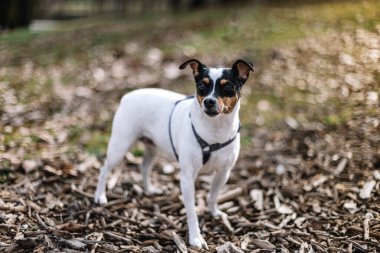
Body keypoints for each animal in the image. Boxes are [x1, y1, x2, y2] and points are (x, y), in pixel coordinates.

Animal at [94, 58, 254, 248]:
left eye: (228, 86)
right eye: (202, 85)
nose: (209, 101)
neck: (215, 131)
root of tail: (127, 97)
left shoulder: (223, 172)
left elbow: (213, 195)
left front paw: (213, 212)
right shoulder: (187, 178)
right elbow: (191, 211)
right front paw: (195, 238)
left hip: (151, 147)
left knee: (144, 166)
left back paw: (149, 190)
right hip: (120, 146)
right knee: (104, 169)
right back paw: (100, 196)